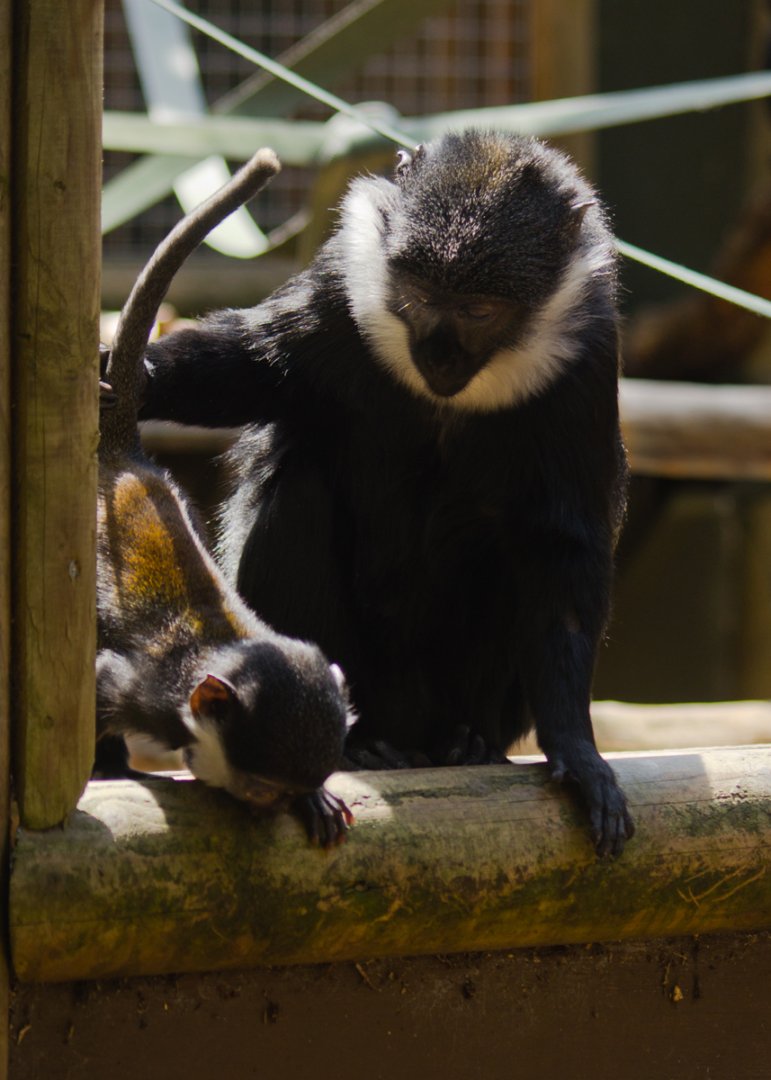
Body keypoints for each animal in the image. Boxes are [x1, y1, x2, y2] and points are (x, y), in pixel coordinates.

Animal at [96, 147, 355, 847]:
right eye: (262, 785)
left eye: (285, 789)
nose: (268, 807)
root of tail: (125, 460)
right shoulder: (144, 693)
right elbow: (103, 686)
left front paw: (317, 800)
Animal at [137, 130, 634, 856]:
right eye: (420, 295)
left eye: (479, 310)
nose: (440, 356)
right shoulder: (335, 289)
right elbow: (248, 363)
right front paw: (130, 376)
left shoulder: (589, 353)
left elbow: (560, 545)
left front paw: (578, 750)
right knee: (300, 488)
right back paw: (361, 743)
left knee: (509, 546)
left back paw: (467, 742)